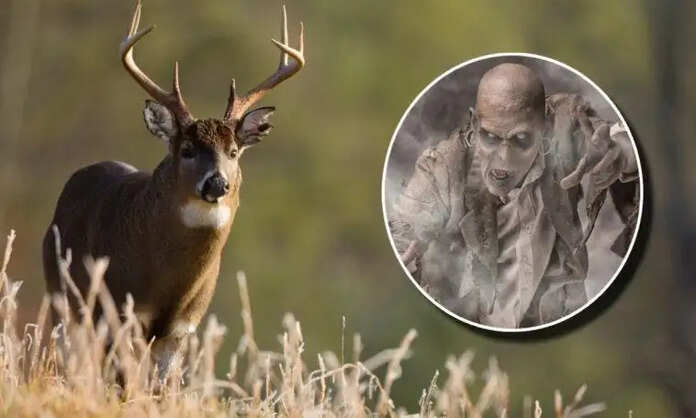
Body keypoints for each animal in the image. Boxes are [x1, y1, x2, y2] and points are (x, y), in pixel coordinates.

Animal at [42, 0, 305, 373]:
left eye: (234, 151)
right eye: (187, 150)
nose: (217, 182)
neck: (168, 284)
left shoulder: (181, 329)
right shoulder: (122, 312)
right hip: (64, 300)